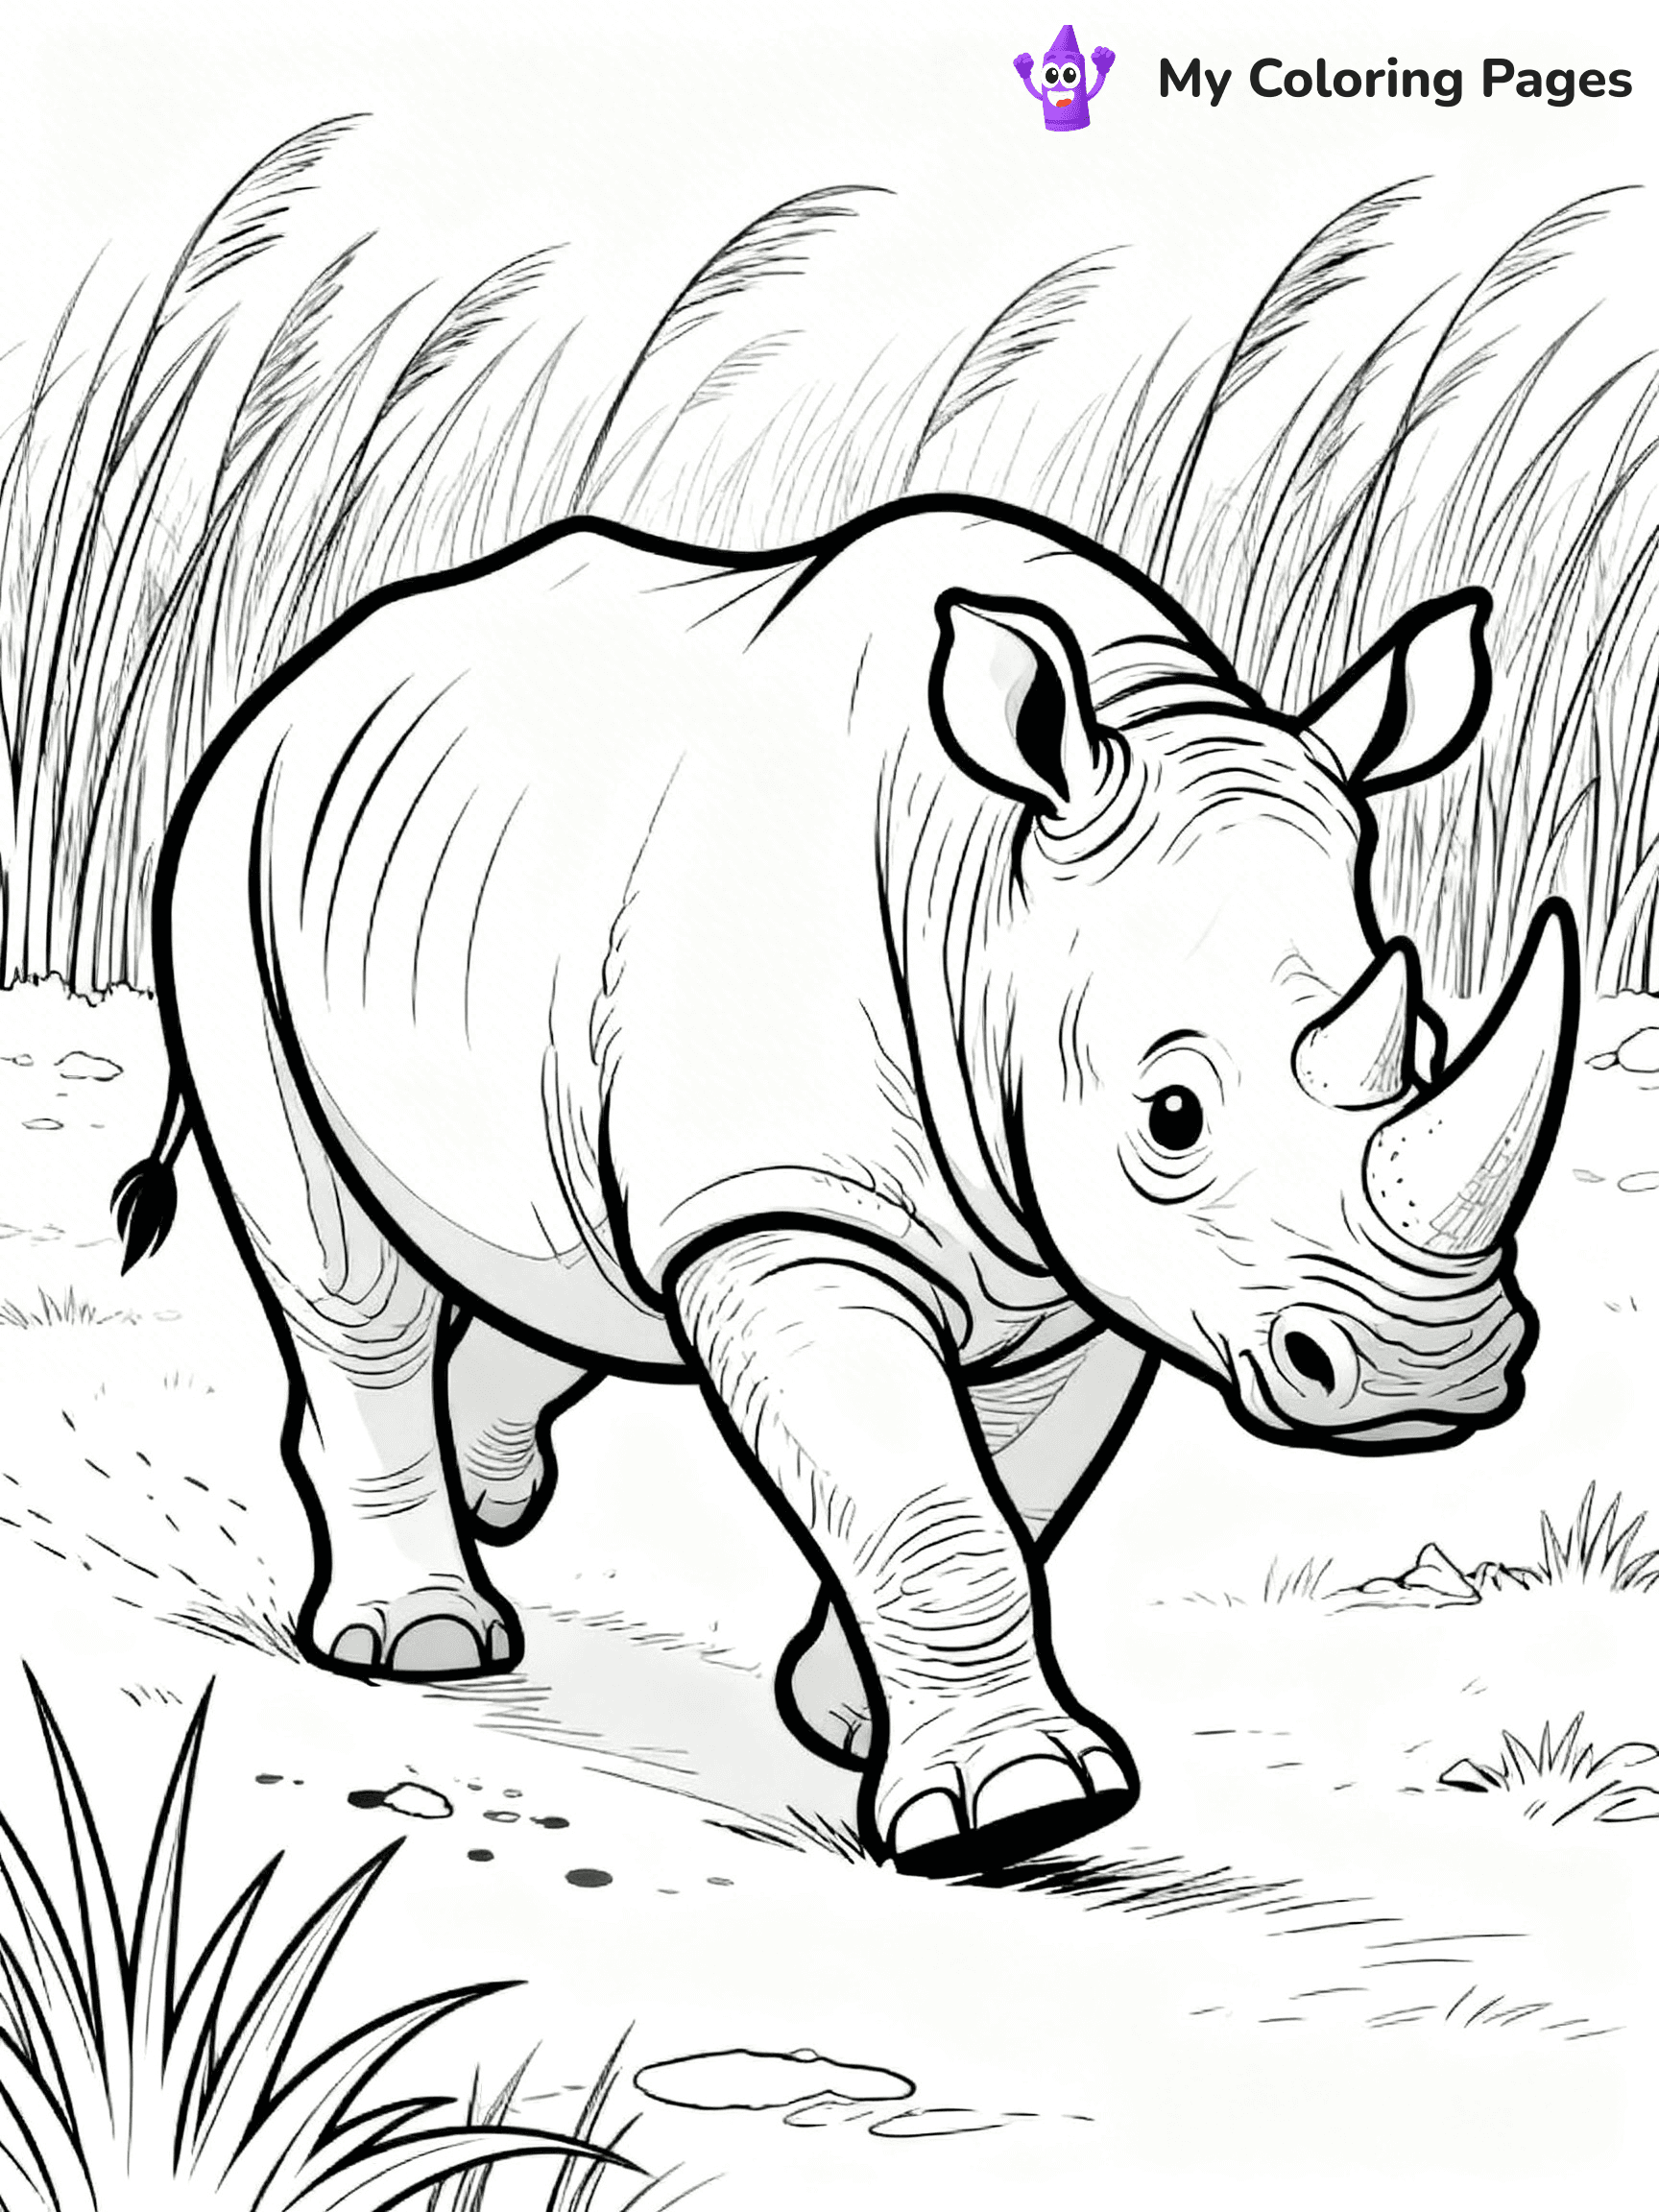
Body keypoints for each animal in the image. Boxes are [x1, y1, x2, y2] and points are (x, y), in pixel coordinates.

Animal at [116, 493, 1576, 1877]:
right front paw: (1019, 1814)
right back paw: (418, 1646)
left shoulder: (1072, 1268)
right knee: (341, 1270)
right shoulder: (787, 1208)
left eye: (1427, 1041)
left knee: (573, 1260)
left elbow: (1007, 1491)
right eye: (1172, 1117)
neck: (992, 890)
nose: (1427, 1377)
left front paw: (849, 1723)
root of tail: (299, 676)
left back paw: (497, 1503)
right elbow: (925, 1495)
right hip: (225, 863)